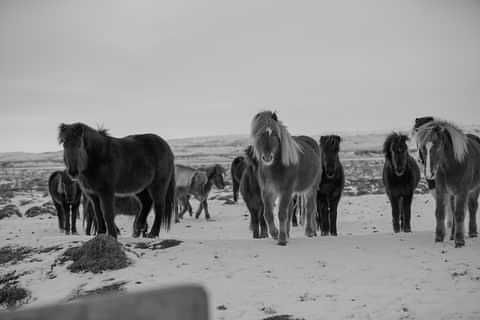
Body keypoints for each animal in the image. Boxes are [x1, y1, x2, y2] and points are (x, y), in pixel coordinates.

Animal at [251, 110, 322, 245]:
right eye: (258, 134)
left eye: (273, 134)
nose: (267, 157)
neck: (274, 168)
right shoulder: (268, 192)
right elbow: (268, 214)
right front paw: (275, 233)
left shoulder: (285, 190)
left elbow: (282, 213)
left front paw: (282, 239)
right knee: (290, 211)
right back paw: (289, 233)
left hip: (311, 188)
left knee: (309, 208)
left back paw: (309, 231)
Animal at [414, 120, 480, 248]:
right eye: (423, 148)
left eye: (438, 146)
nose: (429, 174)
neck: (453, 166)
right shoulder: (441, 190)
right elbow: (440, 213)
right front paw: (439, 237)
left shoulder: (462, 192)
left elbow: (459, 214)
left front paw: (459, 241)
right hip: (452, 194)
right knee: (453, 211)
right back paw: (452, 235)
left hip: (474, 189)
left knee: (472, 208)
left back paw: (472, 232)